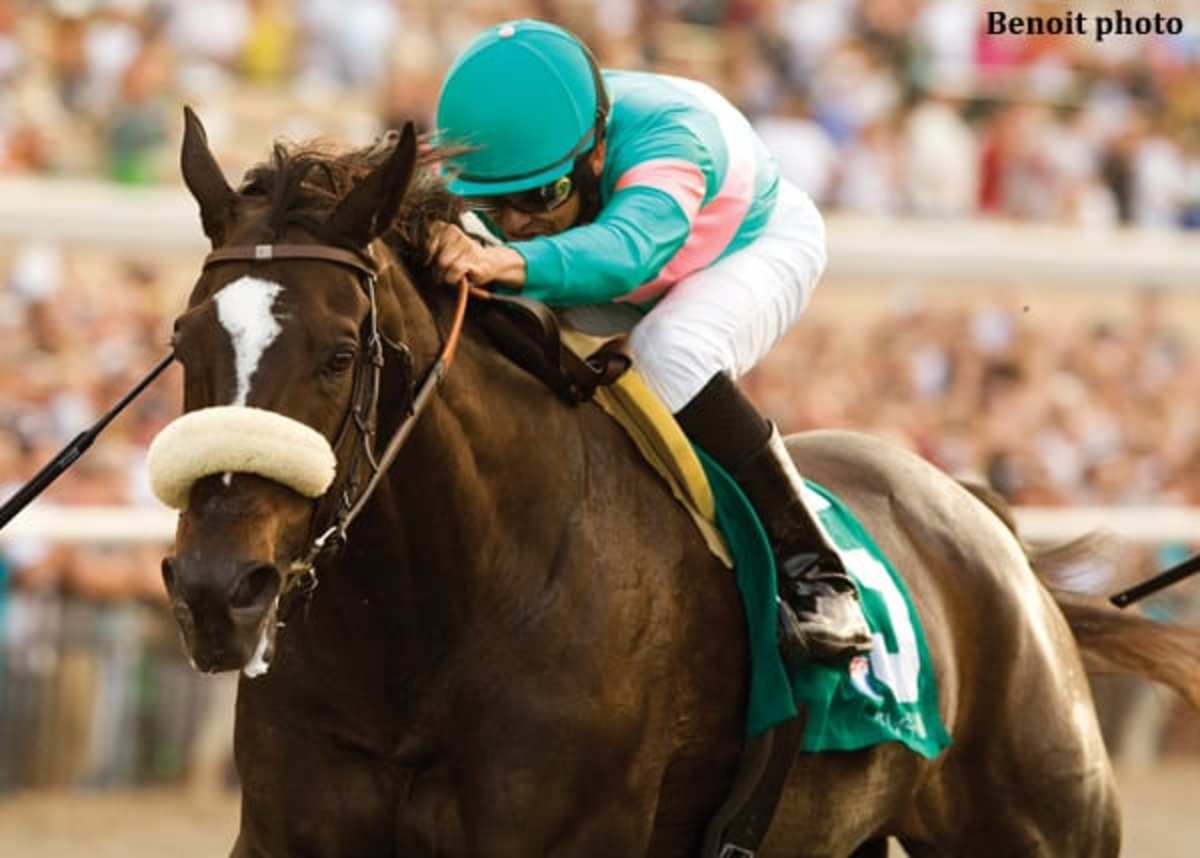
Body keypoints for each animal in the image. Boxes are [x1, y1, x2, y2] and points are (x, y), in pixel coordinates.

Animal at [159, 109, 1200, 858]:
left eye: (340, 352)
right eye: (184, 339)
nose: (216, 589)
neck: (424, 632)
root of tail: (990, 531)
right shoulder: (289, 831)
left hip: (1039, 822)